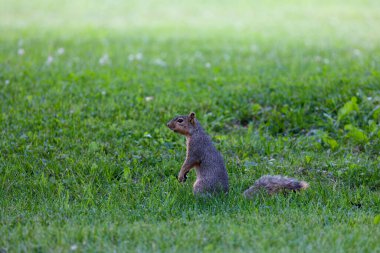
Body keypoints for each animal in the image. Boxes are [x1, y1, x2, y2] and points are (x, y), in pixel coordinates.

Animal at [166, 112, 308, 198]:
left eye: (180, 120)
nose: (168, 125)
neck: (194, 133)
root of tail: (224, 196)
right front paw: (184, 175)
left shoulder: (196, 149)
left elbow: (188, 162)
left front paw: (180, 174)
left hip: (201, 185)